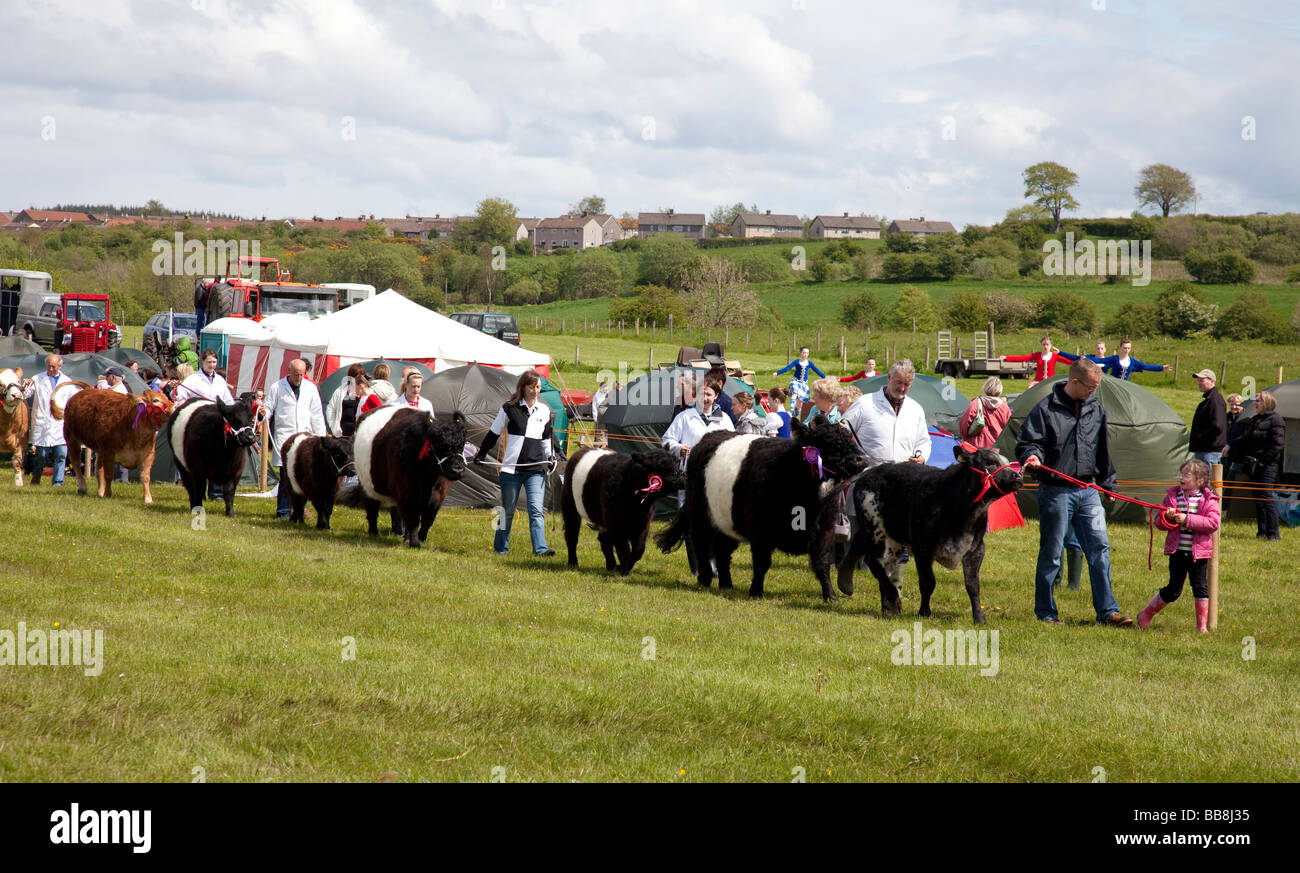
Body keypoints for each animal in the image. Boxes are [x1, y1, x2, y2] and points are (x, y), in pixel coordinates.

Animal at [340, 407, 467, 545]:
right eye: (440, 444)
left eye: (462, 445)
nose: (458, 469)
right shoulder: (406, 492)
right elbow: (413, 520)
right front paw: (415, 543)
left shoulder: (438, 495)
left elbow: (427, 520)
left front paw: (421, 539)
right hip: (366, 485)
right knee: (372, 508)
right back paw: (374, 533)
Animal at [559, 446, 681, 576]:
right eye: (660, 466)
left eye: (677, 462)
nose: (679, 477)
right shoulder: (616, 525)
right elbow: (624, 549)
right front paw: (624, 572)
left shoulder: (642, 525)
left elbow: (638, 550)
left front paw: (623, 567)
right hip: (570, 507)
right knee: (572, 534)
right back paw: (573, 562)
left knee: (604, 541)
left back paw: (611, 565)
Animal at [655, 418, 868, 602]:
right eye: (828, 442)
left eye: (849, 437)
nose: (862, 459)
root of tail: (706, 439)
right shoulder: (761, 530)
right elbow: (762, 563)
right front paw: (756, 592)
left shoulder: (824, 529)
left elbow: (823, 564)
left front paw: (830, 596)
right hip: (700, 515)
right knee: (702, 546)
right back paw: (705, 580)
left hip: (727, 520)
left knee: (723, 551)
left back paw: (726, 584)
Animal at [842, 446, 1024, 623]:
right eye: (990, 462)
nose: (1018, 475)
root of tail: (870, 473)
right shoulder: (922, 547)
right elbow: (928, 582)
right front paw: (924, 612)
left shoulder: (976, 549)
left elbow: (973, 586)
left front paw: (979, 617)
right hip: (875, 531)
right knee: (873, 562)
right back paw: (892, 597)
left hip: (894, 541)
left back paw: (887, 606)